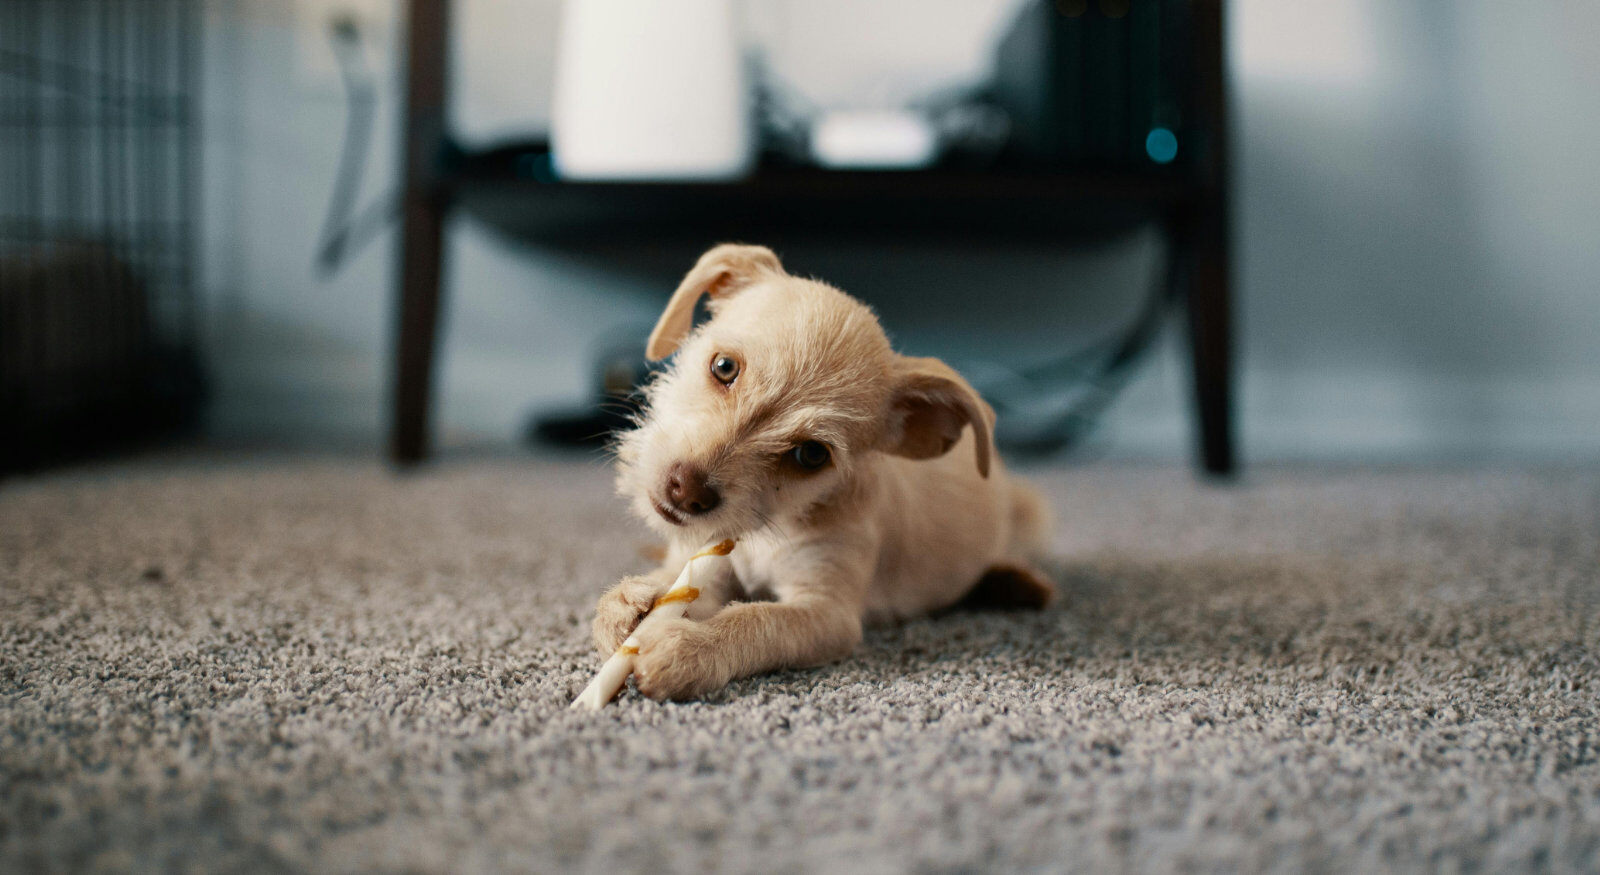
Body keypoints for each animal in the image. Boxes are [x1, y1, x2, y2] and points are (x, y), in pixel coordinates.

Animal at [595, 243, 1056, 700]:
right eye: (724, 367)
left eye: (812, 455)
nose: (686, 491)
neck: (767, 530)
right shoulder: (704, 563)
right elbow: (677, 586)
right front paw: (630, 604)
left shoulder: (827, 612)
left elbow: (757, 621)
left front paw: (690, 646)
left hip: (1029, 511)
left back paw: (1014, 582)